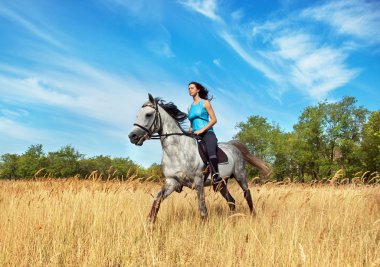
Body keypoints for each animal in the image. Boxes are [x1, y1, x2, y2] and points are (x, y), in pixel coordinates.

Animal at [129, 94, 272, 224]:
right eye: (137, 115)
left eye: (148, 114)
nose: (132, 136)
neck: (178, 151)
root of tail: (232, 146)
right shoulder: (172, 182)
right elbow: (156, 201)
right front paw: (149, 225)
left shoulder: (198, 182)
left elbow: (202, 210)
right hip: (220, 183)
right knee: (231, 201)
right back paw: (232, 220)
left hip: (240, 175)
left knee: (247, 194)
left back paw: (253, 216)